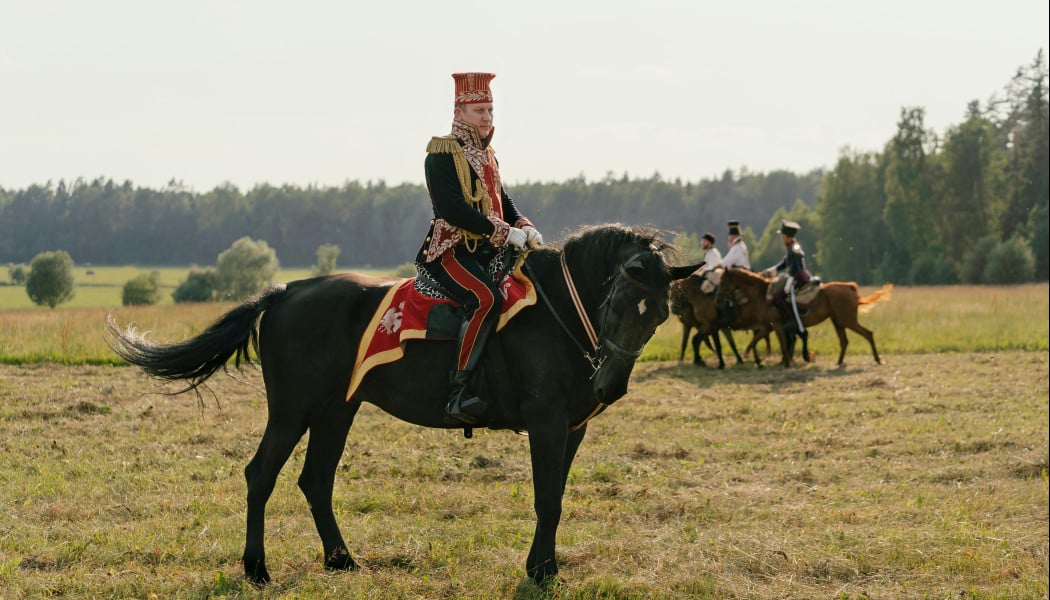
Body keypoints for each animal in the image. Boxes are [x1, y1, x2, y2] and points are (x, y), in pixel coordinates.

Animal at [108, 224, 697, 588]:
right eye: (620, 301)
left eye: (659, 314)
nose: (609, 387)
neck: (558, 313)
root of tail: (285, 292)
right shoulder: (547, 424)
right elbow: (546, 499)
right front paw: (541, 571)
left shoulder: (573, 428)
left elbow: (556, 497)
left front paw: (545, 567)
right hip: (293, 409)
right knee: (262, 474)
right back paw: (257, 568)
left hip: (336, 410)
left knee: (315, 480)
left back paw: (341, 560)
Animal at [713, 269, 894, 367]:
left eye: (724, 280)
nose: (717, 298)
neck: (763, 295)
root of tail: (850, 287)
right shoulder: (768, 327)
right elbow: (755, 342)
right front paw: (759, 360)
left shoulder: (776, 326)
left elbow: (782, 344)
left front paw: (785, 363)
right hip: (838, 322)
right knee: (844, 341)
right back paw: (839, 362)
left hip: (847, 321)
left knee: (867, 334)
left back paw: (877, 359)